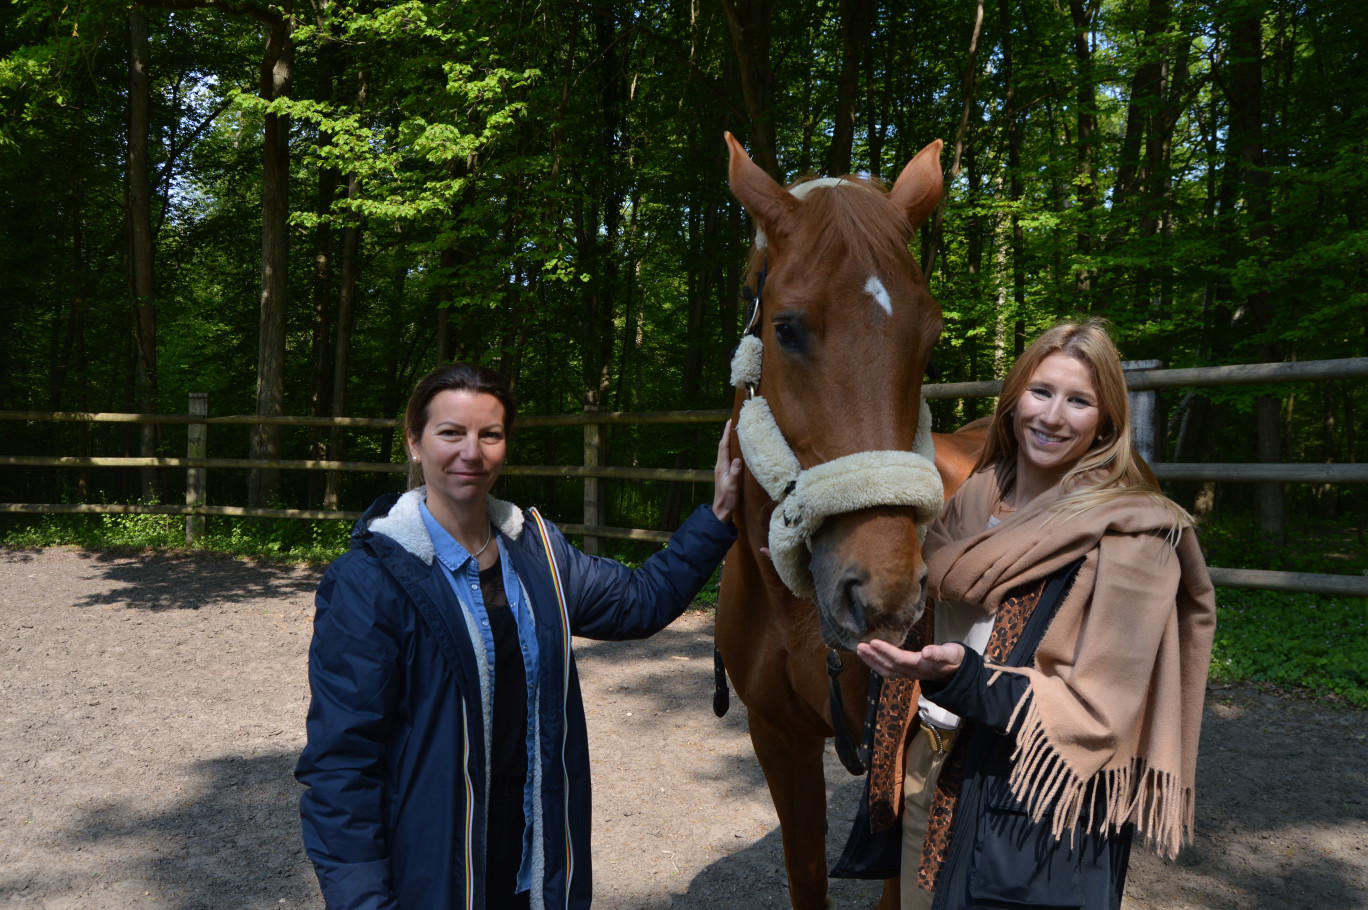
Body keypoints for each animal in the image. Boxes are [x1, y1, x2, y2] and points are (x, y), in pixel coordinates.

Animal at [711, 134, 990, 908]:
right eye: (786, 328)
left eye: (930, 337)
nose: (885, 595)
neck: (794, 609)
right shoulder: (778, 738)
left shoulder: (900, 750)